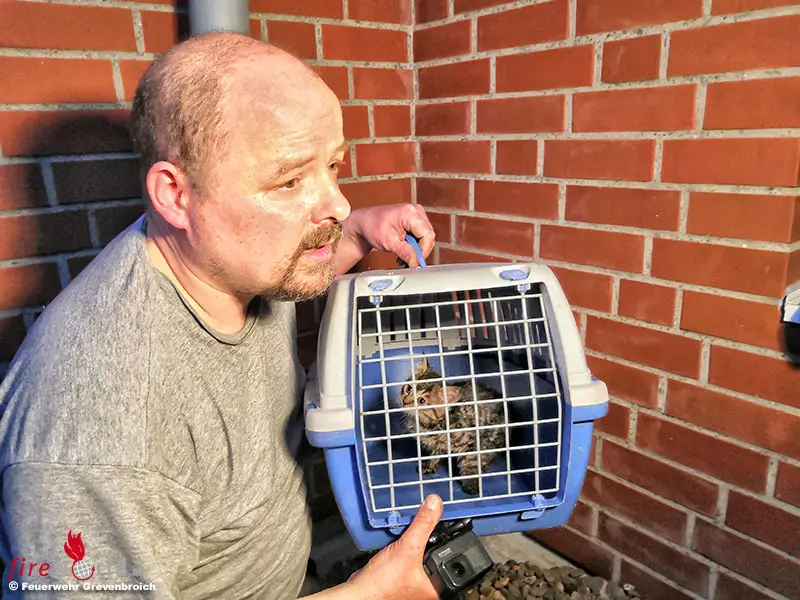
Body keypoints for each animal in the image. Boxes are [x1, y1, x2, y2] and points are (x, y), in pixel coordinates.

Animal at [398, 356, 507, 495]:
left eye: (421, 401)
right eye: (409, 389)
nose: (404, 401)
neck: (429, 425)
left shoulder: (471, 442)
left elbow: (470, 463)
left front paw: (471, 483)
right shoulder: (436, 444)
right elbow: (435, 454)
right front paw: (430, 465)